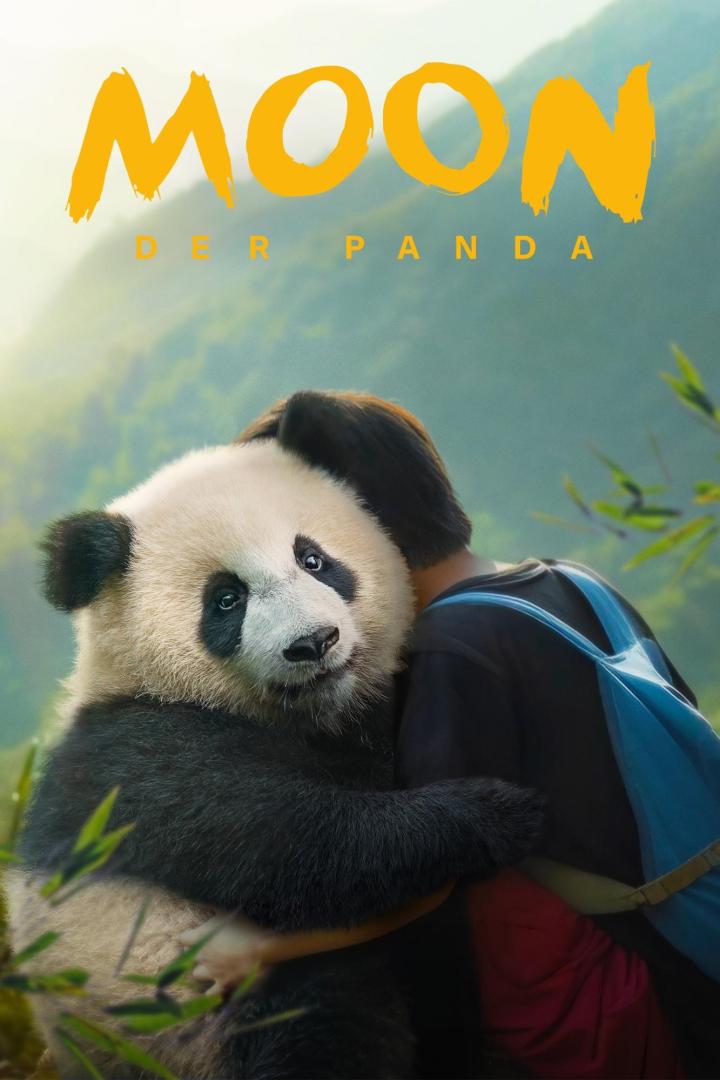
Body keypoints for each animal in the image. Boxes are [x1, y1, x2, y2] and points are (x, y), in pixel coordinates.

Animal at [8, 437, 542, 1079]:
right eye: (226, 599)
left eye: (312, 559)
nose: (313, 643)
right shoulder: (137, 756)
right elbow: (294, 843)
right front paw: (496, 813)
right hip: (185, 1015)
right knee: (325, 1018)